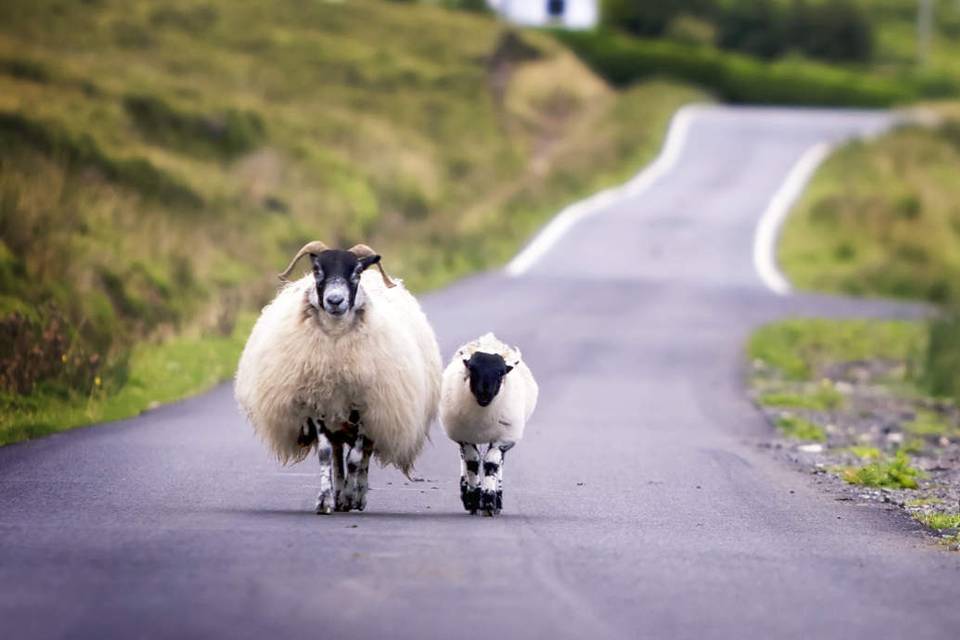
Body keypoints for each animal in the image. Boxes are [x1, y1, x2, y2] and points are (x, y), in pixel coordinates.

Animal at [234, 240, 444, 516]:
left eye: (356, 272)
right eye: (317, 270)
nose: (335, 300)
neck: (335, 344)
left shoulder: (365, 406)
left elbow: (355, 458)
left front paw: (350, 496)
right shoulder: (317, 403)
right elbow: (326, 455)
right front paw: (326, 500)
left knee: (363, 455)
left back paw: (357, 495)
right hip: (337, 417)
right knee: (336, 453)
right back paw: (339, 492)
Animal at [438, 332, 536, 516]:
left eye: (500, 373)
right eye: (472, 369)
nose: (485, 392)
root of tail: (489, 340)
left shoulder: (502, 439)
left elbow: (492, 463)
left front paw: (489, 500)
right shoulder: (465, 437)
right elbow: (472, 461)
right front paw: (473, 498)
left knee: (499, 463)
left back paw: (497, 499)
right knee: (464, 458)